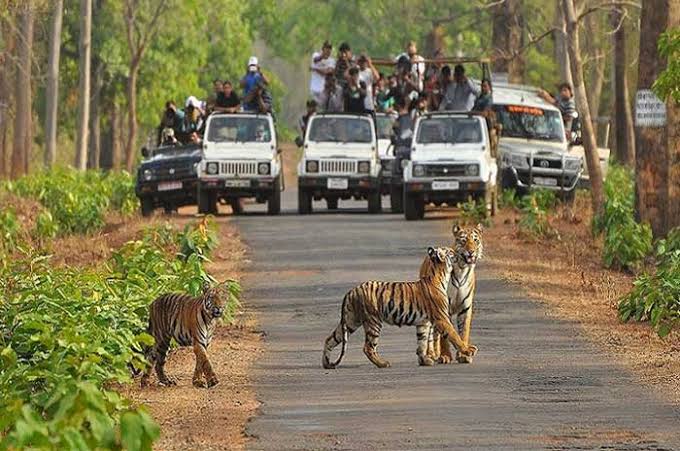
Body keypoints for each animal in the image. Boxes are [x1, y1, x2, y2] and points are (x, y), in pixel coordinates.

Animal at [322, 247, 478, 370]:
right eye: (451, 252)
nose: (460, 253)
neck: (440, 275)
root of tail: (352, 291)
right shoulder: (442, 318)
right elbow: (454, 336)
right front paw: (468, 350)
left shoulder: (423, 323)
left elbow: (422, 342)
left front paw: (424, 360)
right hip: (373, 321)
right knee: (368, 347)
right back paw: (383, 364)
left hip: (350, 321)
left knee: (330, 339)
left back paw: (326, 363)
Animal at [420, 224, 484, 366]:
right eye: (463, 240)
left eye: (475, 240)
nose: (471, 251)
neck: (462, 269)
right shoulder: (444, 308)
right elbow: (445, 336)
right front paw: (445, 356)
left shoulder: (466, 308)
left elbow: (463, 332)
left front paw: (464, 355)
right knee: (432, 333)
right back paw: (432, 354)